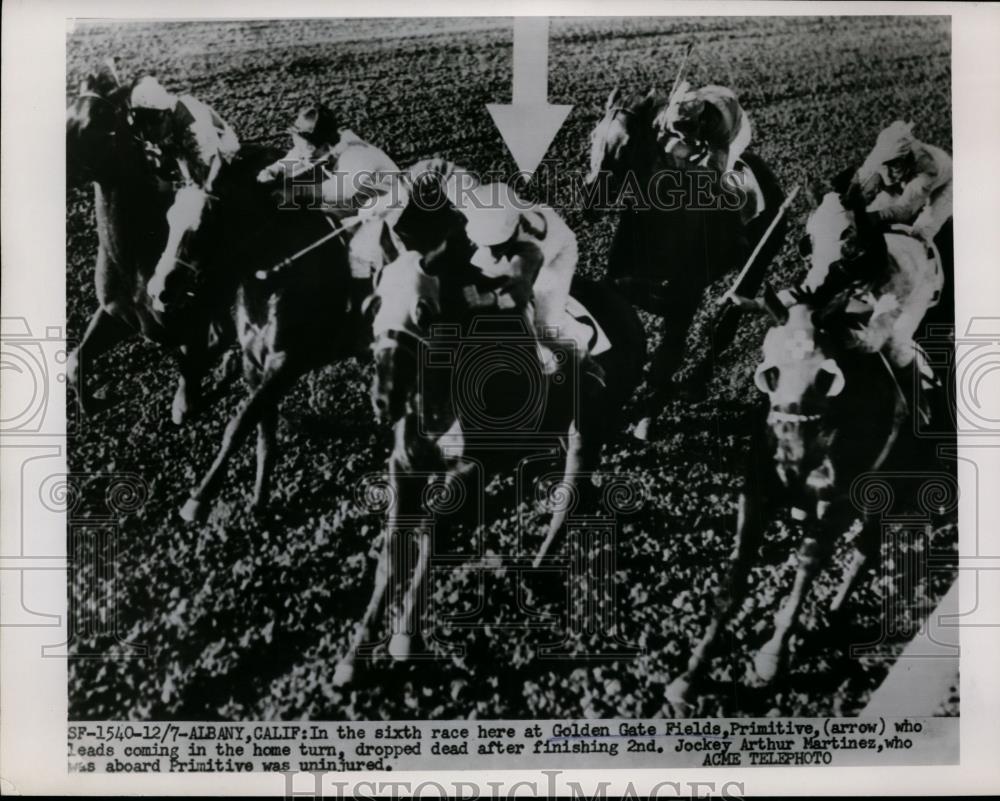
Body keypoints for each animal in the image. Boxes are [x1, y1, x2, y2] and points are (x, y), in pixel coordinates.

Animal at [66, 65, 229, 422]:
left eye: (97, 123)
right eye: (68, 115)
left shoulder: (192, 327)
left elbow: (190, 374)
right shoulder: (113, 313)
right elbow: (74, 362)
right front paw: (92, 403)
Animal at [334, 205, 648, 680]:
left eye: (424, 311)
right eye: (374, 306)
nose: (384, 398)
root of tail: (628, 312)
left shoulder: (472, 468)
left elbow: (431, 533)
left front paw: (405, 637)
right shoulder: (404, 466)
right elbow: (391, 555)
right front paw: (354, 655)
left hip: (590, 425)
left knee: (571, 492)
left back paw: (538, 567)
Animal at [584, 83, 784, 424]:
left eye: (627, 144)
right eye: (594, 136)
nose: (590, 203)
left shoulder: (689, 290)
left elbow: (673, 335)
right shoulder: (622, 281)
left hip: (758, 261)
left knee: (728, 322)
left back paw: (696, 382)